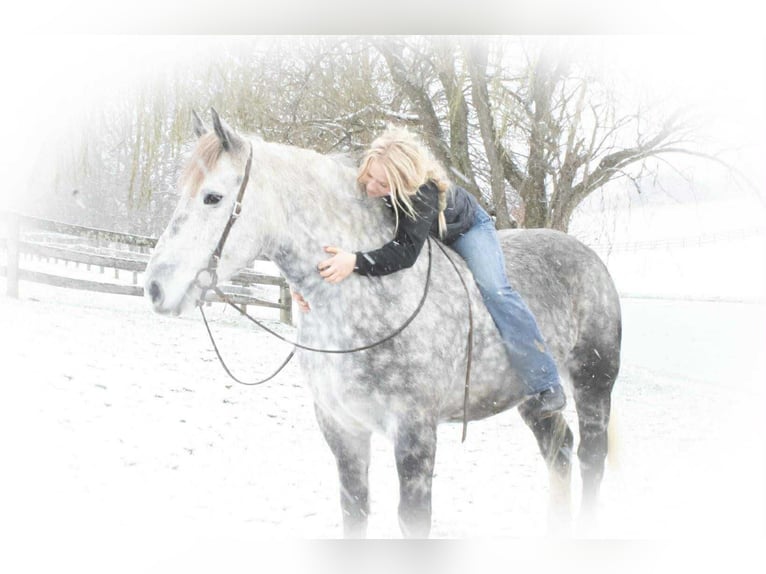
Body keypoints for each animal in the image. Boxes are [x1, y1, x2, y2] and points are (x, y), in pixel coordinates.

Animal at [144, 109, 622, 538]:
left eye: (212, 197)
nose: (154, 286)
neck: (367, 297)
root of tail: (591, 258)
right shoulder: (342, 428)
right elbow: (354, 510)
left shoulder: (414, 431)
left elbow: (413, 520)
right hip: (532, 401)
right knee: (559, 452)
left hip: (593, 383)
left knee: (591, 460)